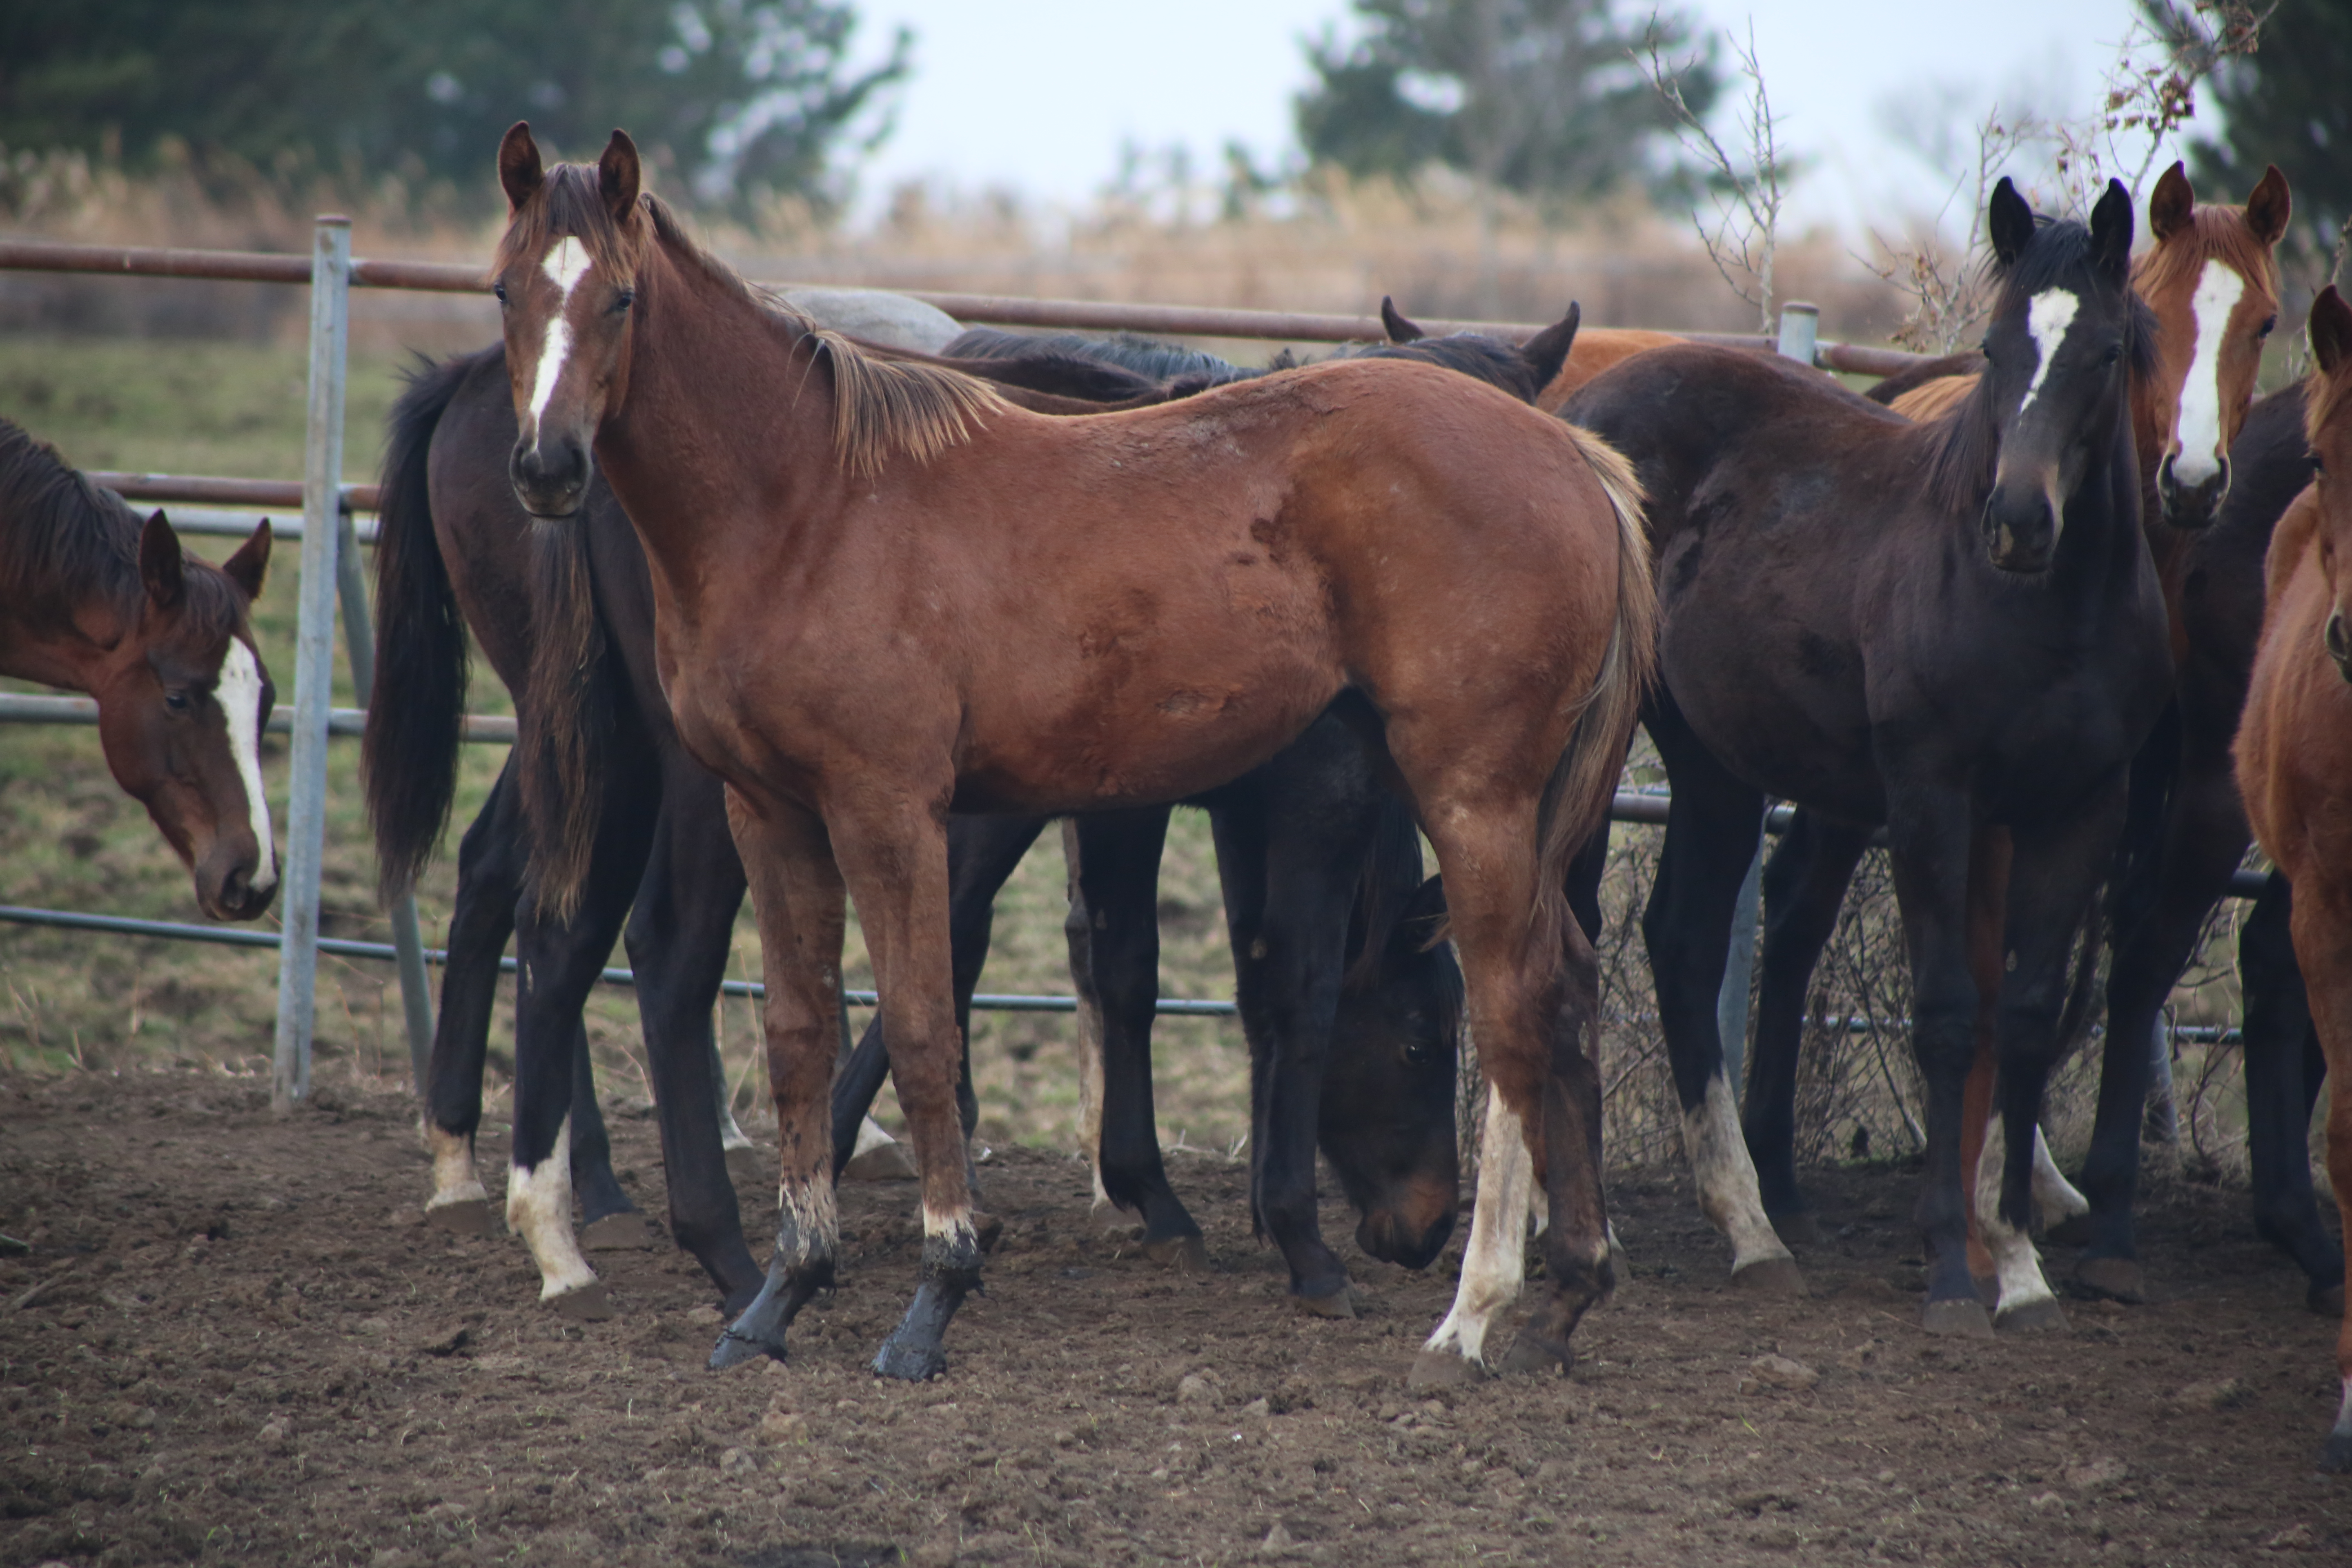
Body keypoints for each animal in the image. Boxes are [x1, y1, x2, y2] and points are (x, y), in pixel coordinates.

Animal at [484, 126, 1646, 1382]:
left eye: (623, 297)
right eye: (506, 291)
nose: (545, 467)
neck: (808, 506)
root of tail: (1569, 453)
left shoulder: (891, 810)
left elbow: (924, 1026)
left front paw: (935, 1296)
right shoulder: (773, 808)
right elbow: (801, 1034)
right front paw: (782, 1295)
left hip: (1474, 793)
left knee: (1518, 1002)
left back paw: (1473, 1314)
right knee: (1562, 984)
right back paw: (1567, 1290)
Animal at [1561, 181, 2164, 1335]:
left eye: (2107, 352)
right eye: (1993, 345)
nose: (2017, 522)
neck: (2042, 614)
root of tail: (1571, 415)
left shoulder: (2083, 808)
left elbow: (2024, 1018)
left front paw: (2019, 1265)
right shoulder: (1932, 798)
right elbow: (1946, 1015)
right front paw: (1948, 1269)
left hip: (1715, 764)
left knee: (1682, 940)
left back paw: (1750, 1229)